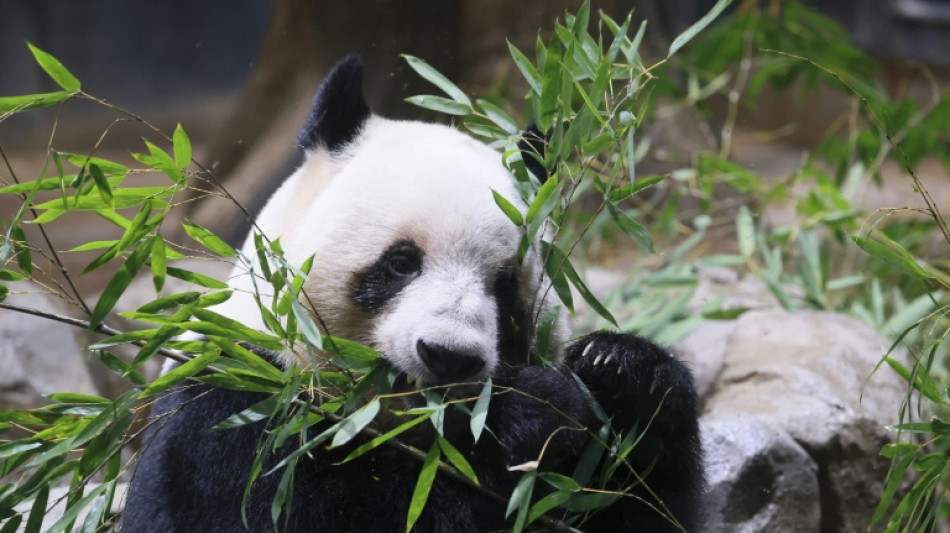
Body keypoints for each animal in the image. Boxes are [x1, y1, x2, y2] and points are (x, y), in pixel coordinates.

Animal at [121, 56, 704, 532]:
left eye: (504, 286)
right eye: (401, 262)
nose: (449, 356)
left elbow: (634, 507)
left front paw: (623, 371)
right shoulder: (232, 401)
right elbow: (284, 511)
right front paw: (529, 414)